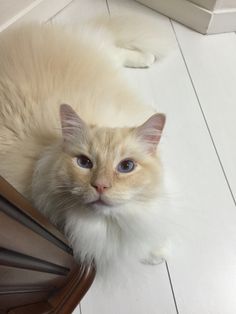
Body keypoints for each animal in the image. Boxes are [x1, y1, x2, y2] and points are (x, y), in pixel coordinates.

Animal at [0, 15, 170, 274]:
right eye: (83, 162)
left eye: (126, 167)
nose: (100, 186)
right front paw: (156, 253)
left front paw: (157, 250)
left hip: (101, 52)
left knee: (116, 49)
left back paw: (147, 59)